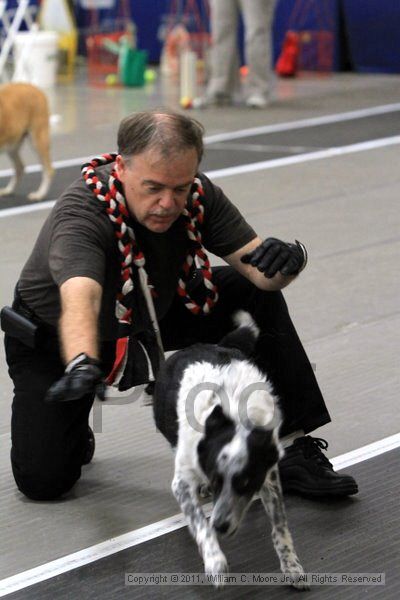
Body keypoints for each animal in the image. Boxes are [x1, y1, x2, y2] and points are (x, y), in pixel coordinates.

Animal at [152, 314, 306, 592]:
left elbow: (279, 526)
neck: (232, 416)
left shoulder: (268, 476)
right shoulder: (181, 483)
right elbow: (200, 523)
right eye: (216, 481)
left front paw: (291, 565)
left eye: (245, 484)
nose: (220, 525)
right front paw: (215, 562)